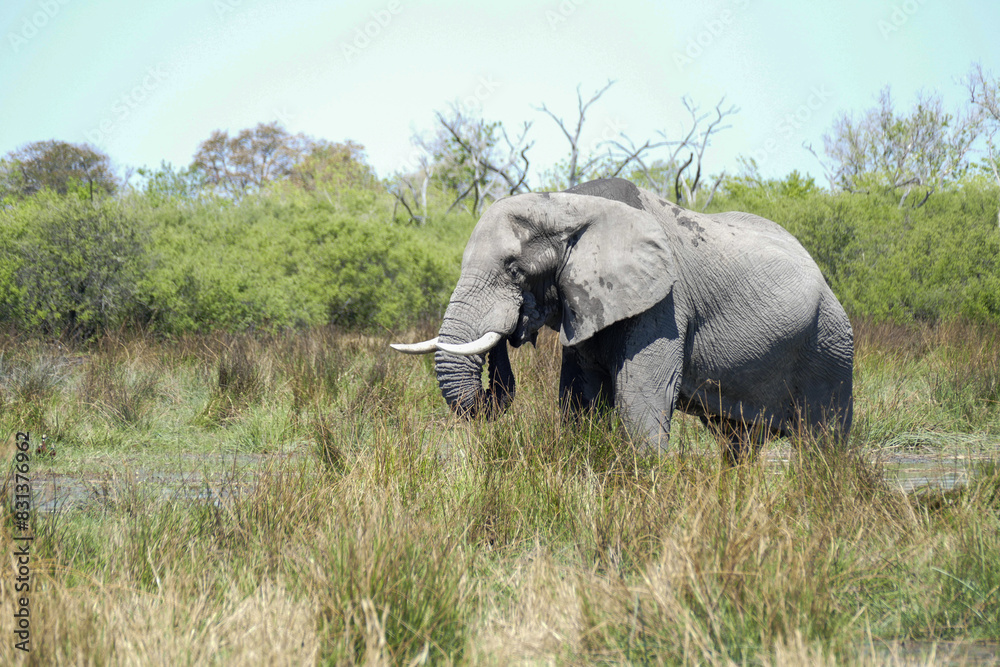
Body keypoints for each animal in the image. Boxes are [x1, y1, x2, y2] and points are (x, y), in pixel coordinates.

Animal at [391, 178, 853, 462]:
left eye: (515, 271)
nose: (512, 329)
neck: (569, 202)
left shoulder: (664, 305)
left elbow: (638, 400)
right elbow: (580, 401)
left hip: (830, 345)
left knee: (824, 444)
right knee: (738, 443)